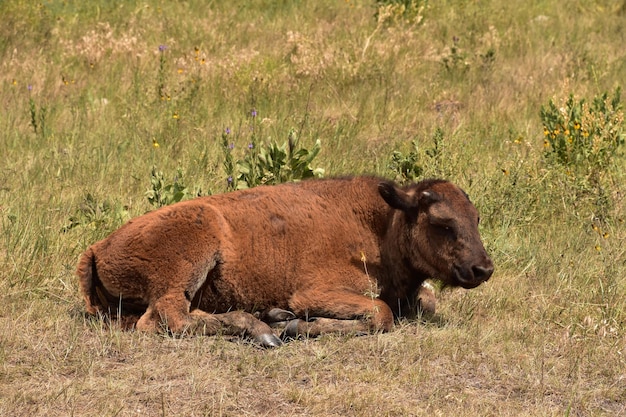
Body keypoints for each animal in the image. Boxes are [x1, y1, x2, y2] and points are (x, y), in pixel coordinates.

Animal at [75, 177, 490, 346]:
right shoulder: (313, 293)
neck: (382, 222)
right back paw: (264, 329)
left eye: (476, 218)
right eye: (442, 223)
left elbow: (426, 301)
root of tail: (97, 247)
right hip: (190, 260)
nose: (482, 269)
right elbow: (381, 313)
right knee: (169, 319)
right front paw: (294, 325)